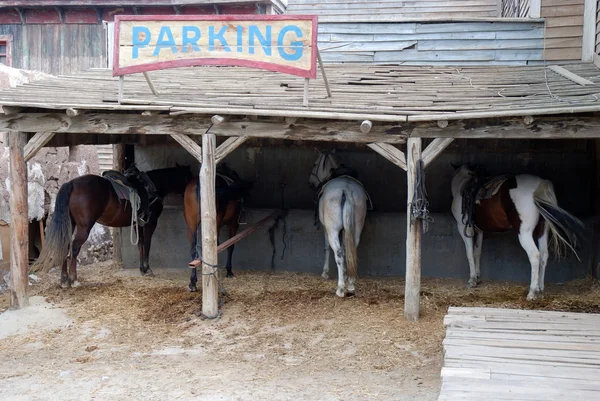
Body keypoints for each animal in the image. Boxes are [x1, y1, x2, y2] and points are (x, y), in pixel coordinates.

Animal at [31, 164, 191, 286]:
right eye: (188, 178)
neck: (153, 187)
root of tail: (71, 184)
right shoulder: (150, 223)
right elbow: (147, 244)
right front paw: (147, 269)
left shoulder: (137, 224)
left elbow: (140, 244)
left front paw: (142, 269)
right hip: (84, 227)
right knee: (75, 248)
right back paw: (73, 279)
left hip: (70, 224)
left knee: (66, 246)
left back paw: (64, 279)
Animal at [182, 162, 250, 290]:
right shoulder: (233, 224)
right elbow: (230, 246)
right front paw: (229, 271)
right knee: (216, 247)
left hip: (191, 226)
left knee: (193, 249)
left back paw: (193, 282)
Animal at [310, 148, 370, 296]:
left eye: (315, 164)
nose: (310, 183)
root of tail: (346, 190)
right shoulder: (345, 230)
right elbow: (345, 248)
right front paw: (346, 273)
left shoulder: (326, 229)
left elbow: (327, 248)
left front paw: (325, 273)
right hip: (356, 230)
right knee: (351, 250)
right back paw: (351, 285)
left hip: (332, 231)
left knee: (338, 253)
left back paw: (341, 288)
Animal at [452, 163, 584, 300]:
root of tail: (539, 184)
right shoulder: (479, 231)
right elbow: (477, 252)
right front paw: (477, 278)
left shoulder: (463, 228)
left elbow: (469, 254)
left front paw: (472, 280)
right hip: (542, 230)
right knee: (544, 254)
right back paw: (540, 288)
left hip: (525, 233)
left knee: (535, 255)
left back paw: (532, 292)